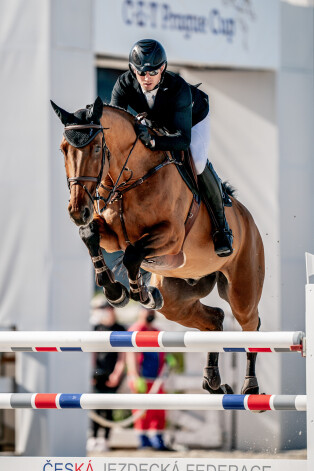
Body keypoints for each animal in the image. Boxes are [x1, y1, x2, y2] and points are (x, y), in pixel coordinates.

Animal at [51, 97, 264, 396]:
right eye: (63, 149)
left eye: (97, 148)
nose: (77, 211)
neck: (131, 178)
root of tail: (249, 221)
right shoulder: (112, 236)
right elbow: (89, 234)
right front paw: (115, 290)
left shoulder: (171, 237)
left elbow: (132, 255)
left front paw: (139, 293)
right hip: (176, 300)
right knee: (215, 319)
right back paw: (213, 383)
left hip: (243, 292)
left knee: (251, 325)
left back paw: (250, 386)